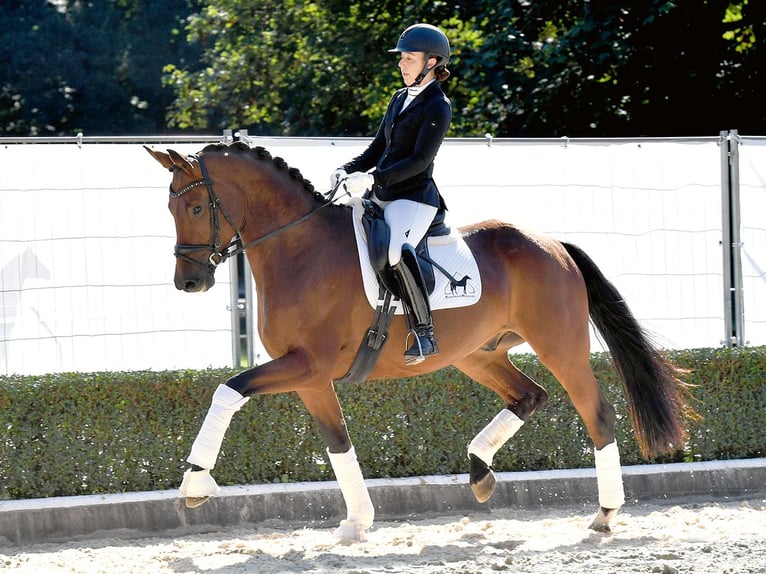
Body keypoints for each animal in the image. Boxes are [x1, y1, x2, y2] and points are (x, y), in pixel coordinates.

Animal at [147, 142, 692, 544]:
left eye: (195, 205)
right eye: (170, 207)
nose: (188, 282)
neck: (299, 248)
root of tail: (552, 244)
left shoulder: (306, 364)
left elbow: (228, 390)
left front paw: (195, 482)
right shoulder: (311, 377)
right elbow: (338, 443)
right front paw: (357, 522)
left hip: (560, 347)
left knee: (596, 411)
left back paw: (604, 513)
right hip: (478, 354)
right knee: (528, 396)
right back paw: (480, 473)